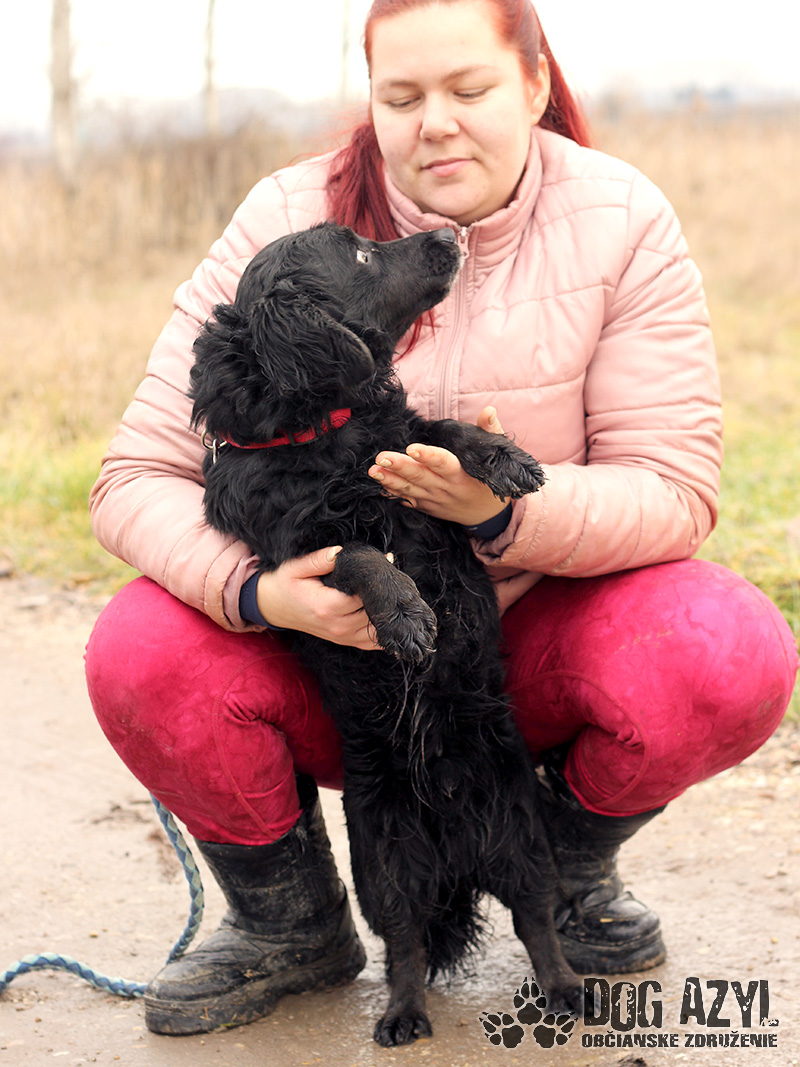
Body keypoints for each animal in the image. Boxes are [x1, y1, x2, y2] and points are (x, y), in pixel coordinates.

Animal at [189, 223, 584, 1046]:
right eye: (363, 255)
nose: (447, 233)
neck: (326, 432)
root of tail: (458, 849)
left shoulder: (404, 451)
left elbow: (443, 430)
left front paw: (504, 456)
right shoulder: (298, 550)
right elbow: (361, 553)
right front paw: (405, 613)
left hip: (524, 836)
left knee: (537, 919)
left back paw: (565, 990)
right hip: (385, 864)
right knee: (404, 947)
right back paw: (403, 1015)